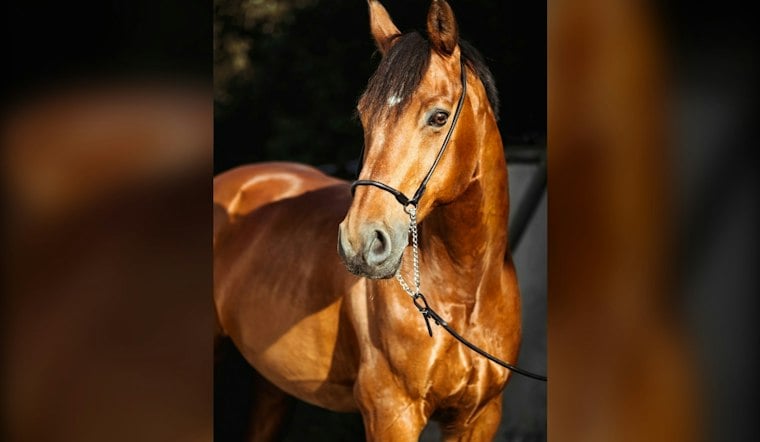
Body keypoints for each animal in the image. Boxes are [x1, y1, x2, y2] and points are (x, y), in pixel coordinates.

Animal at [214, 1, 522, 440]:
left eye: (439, 116)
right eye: (363, 116)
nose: (360, 243)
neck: (464, 293)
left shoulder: (479, 416)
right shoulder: (391, 413)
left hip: (272, 385)